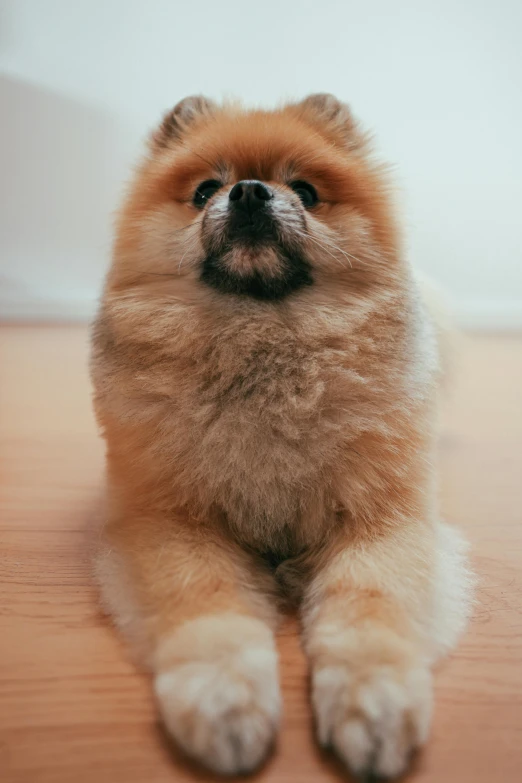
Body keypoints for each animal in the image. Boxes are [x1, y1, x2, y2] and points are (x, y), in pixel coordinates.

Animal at [90, 93, 472, 776]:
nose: (247, 192)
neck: (264, 347)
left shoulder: (383, 522)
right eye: (204, 190)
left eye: (306, 191)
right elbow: (206, 603)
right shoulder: (170, 522)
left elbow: (371, 607)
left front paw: (374, 700)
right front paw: (223, 698)